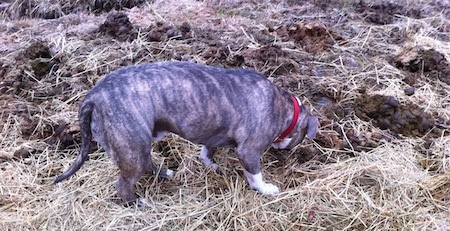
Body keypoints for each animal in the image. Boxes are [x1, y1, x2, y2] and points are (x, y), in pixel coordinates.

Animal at [53, 61, 320, 202]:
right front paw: (266, 189)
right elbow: (255, 175)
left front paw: (211, 165)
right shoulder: (249, 151)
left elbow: (207, 150)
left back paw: (165, 173)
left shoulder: (213, 133)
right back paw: (137, 203)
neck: (284, 106)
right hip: (132, 147)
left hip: (137, 144)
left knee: (148, 164)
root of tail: (94, 95)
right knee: (124, 184)